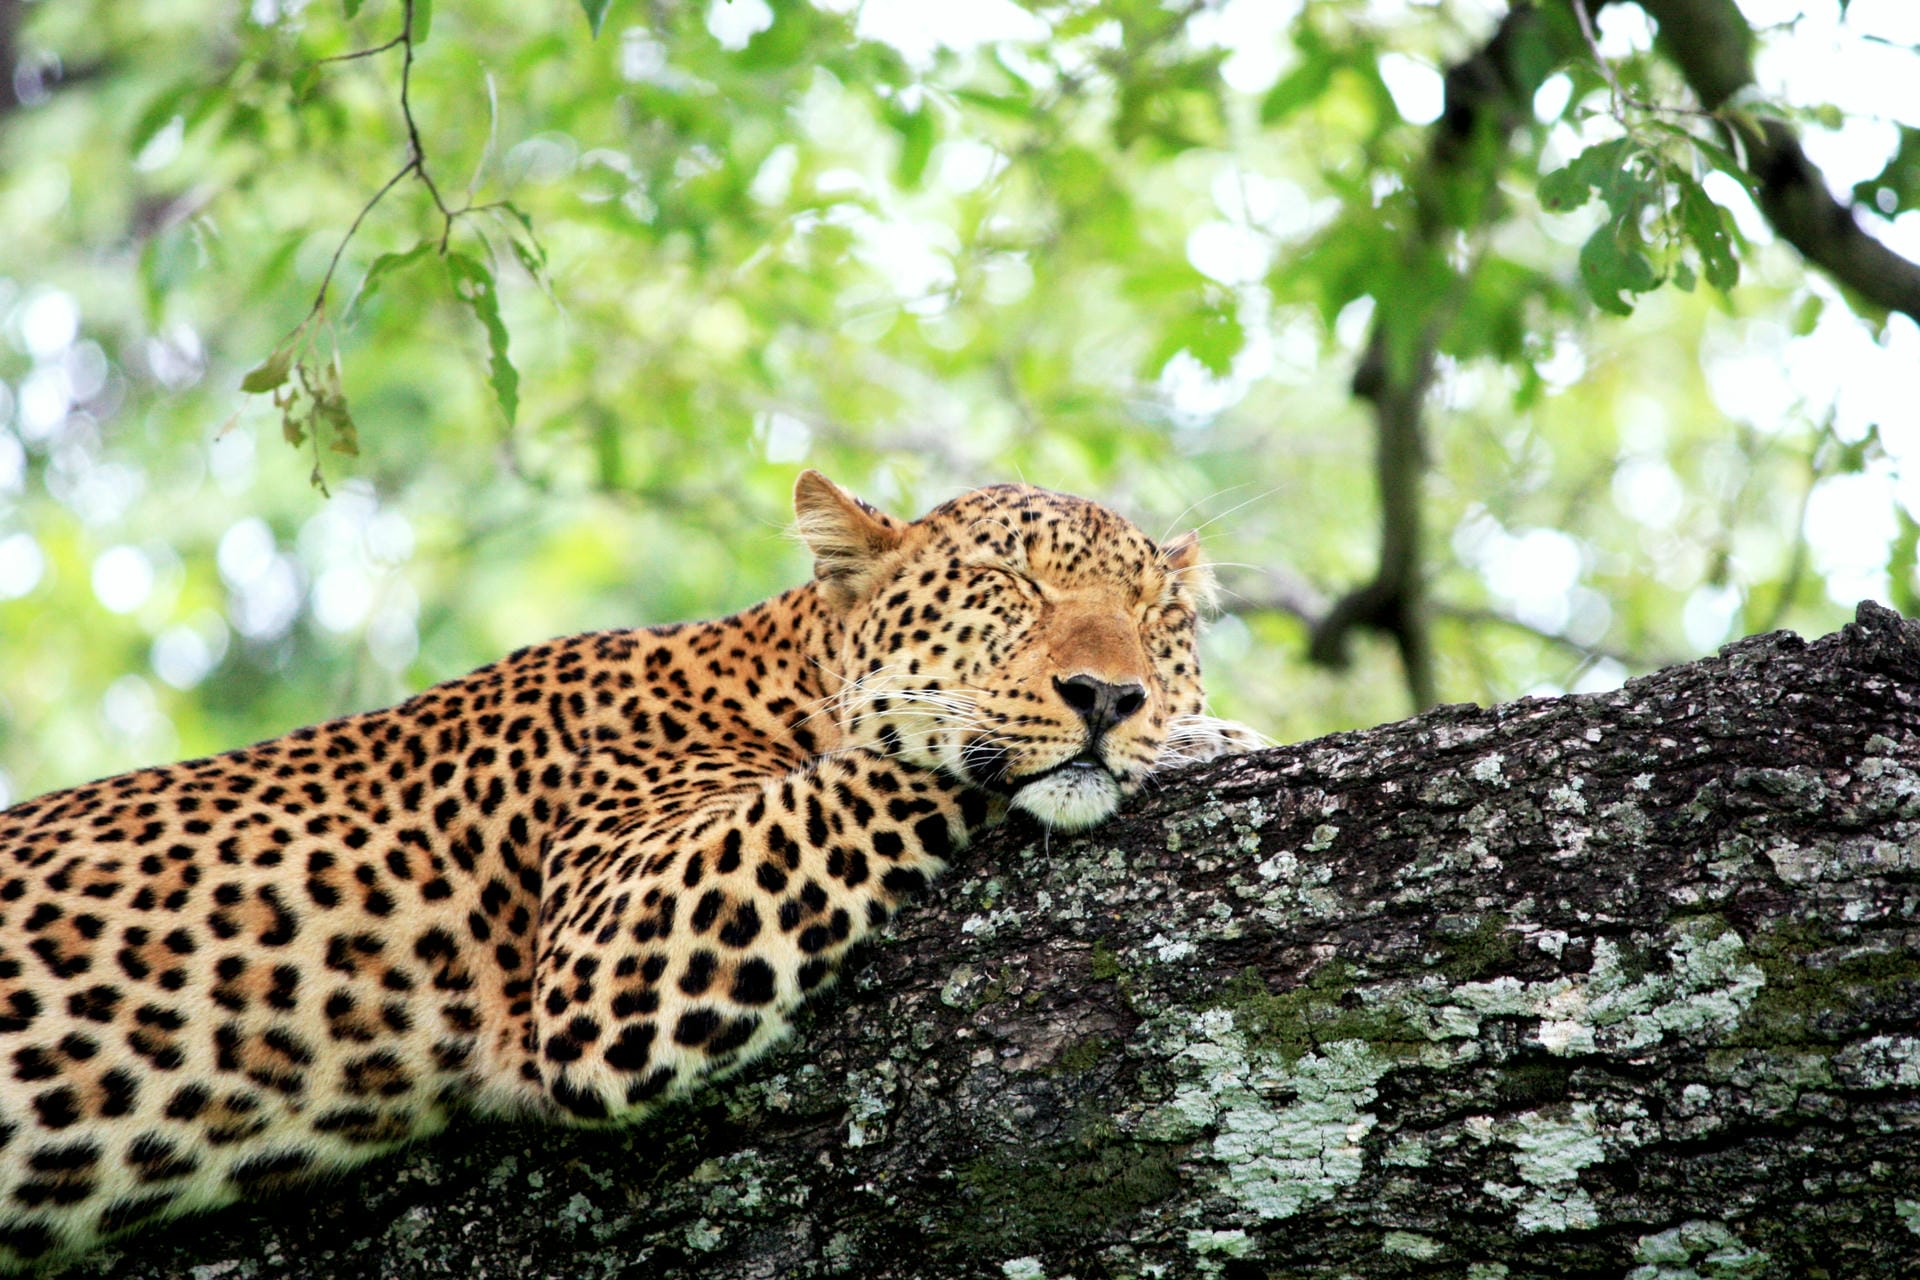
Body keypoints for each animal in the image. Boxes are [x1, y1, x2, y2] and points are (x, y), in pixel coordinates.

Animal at [0, 471, 1267, 1268]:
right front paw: (1198, 738)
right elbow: (887, 757)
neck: (771, 675)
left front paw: (1190, 728)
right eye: (1015, 586)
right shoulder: (621, 940)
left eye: (1157, 616)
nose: (1110, 695)